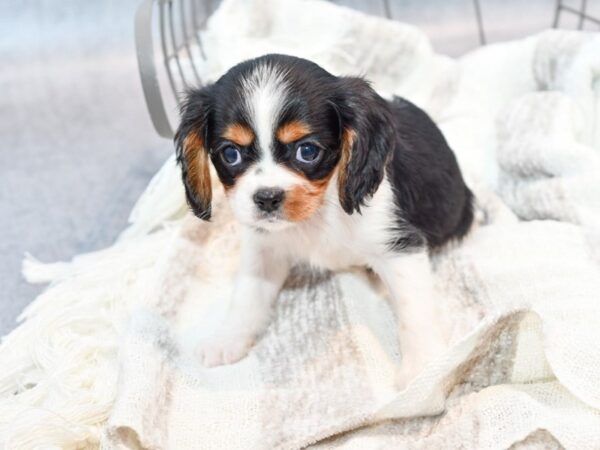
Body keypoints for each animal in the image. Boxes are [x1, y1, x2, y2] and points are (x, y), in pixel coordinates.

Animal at [175, 53, 474, 386]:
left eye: (307, 151)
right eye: (230, 154)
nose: (267, 197)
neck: (318, 212)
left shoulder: (399, 246)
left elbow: (414, 310)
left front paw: (421, 368)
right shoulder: (264, 249)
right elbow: (247, 296)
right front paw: (227, 338)